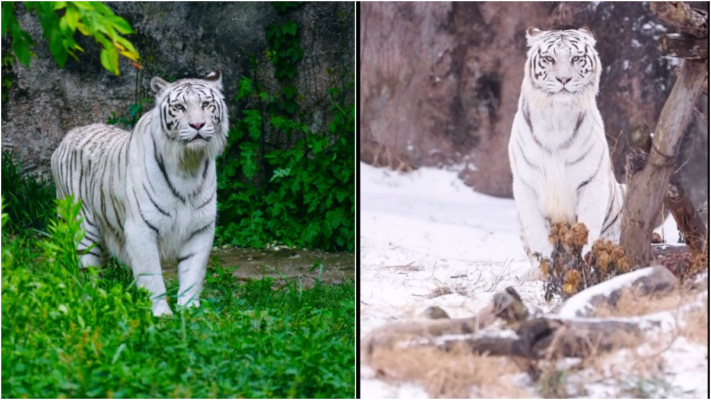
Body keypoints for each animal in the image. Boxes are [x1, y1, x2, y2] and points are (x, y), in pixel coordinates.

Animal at [51, 70, 229, 316]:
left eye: (205, 104)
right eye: (180, 107)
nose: (197, 124)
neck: (188, 164)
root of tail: (69, 134)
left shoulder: (200, 228)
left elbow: (193, 273)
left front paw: (189, 311)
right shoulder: (140, 229)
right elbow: (152, 275)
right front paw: (161, 314)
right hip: (83, 229)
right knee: (86, 274)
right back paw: (92, 304)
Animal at [508, 28, 625, 278]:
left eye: (576, 58)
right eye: (549, 59)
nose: (563, 79)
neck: (557, 119)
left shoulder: (592, 183)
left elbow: (587, 230)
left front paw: (583, 268)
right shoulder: (526, 186)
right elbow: (539, 236)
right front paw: (548, 272)